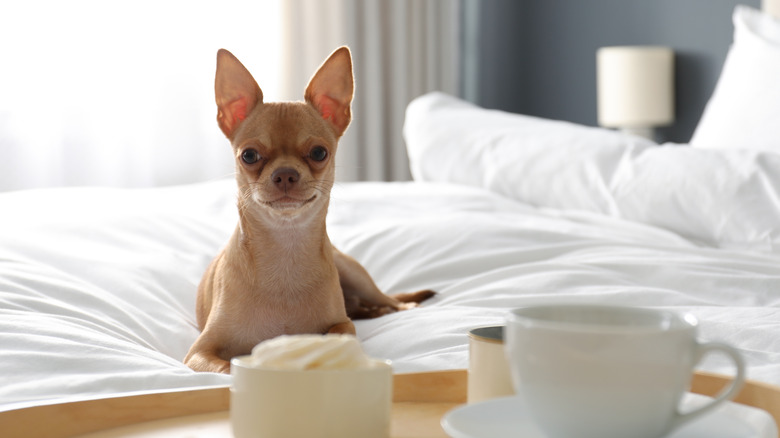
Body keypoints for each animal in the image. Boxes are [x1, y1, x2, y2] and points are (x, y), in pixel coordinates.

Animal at [186, 46, 436, 372]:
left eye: (319, 153)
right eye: (249, 155)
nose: (285, 174)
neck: (285, 247)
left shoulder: (342, 324)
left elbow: (340, 333)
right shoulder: (199, 352)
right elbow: (228, 367)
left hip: (357, 275)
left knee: (385, 300)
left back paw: (401, 306)